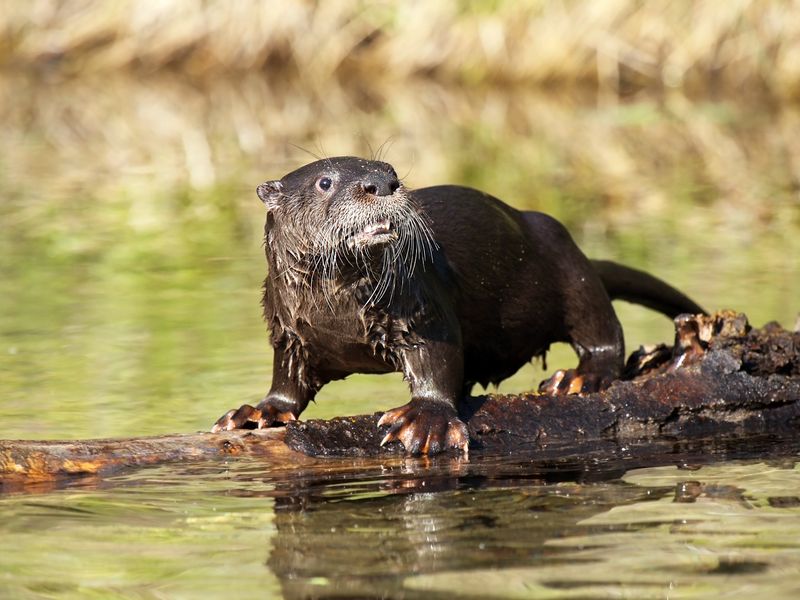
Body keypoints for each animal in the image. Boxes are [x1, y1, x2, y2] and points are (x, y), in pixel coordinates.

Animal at [211, 156, 704, 455]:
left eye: (389, 170)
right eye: (325, 182)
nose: (382, 183)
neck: (336, 316)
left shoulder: (421, 307)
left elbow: (439, 359)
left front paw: (425, 420)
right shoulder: (288, 330)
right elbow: (287, 378)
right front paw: (259, 411)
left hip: (566, 258)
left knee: (601, 329)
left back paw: (581, 377)